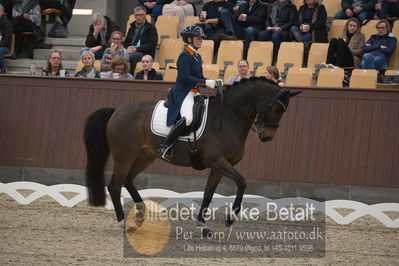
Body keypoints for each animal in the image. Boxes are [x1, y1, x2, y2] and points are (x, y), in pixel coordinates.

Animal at [85, 77, 304, 233]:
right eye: (276, 108)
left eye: (284, 111)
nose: (267, 136)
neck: (230, 116)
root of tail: (117, 111)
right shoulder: (218, 161)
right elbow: (242, 182)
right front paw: (230, 218)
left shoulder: (219, 166)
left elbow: (209, 193)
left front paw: (203, 225)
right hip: (125, 154)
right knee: (115, 185)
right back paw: (123, 223)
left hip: (146, 155)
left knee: (128, 179)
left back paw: (140, 216)